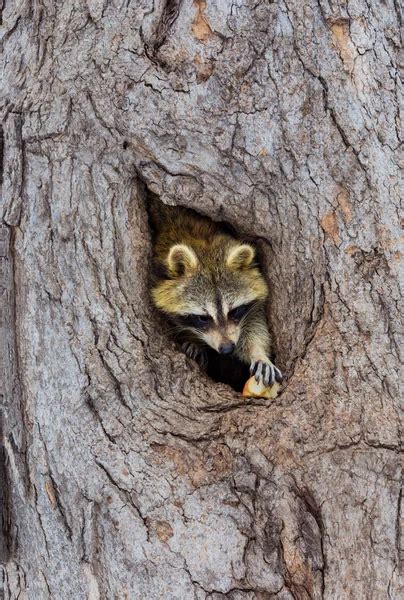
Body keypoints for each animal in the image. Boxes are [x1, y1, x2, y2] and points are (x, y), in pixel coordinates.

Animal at [149, 204, 284, 386]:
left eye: (234, 311)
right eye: (202, 318)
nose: (227, 348)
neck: (204, 243)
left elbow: (254, 322)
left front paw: (258, 353)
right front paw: (193, 340)